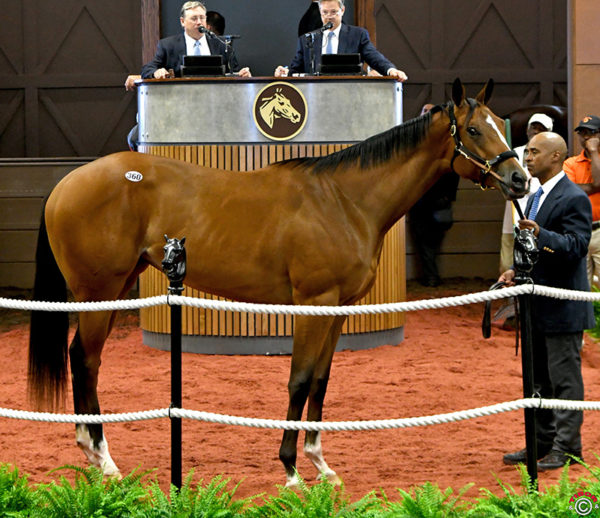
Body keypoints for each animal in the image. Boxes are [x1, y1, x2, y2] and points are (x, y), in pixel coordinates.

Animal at [28, 77, 528, 488]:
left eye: (500, 125)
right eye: (475, 131)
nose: (519, 179)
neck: (345, 200)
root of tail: (66, 184)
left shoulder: (338, 308)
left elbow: (321, 380)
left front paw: (320, 464)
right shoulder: (313, 302)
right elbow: (299, 379)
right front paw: (290, 468)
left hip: (113, 290)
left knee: (83, 359)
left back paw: (93, 454)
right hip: (99, 291)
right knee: (85, 360)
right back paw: (103, 458)